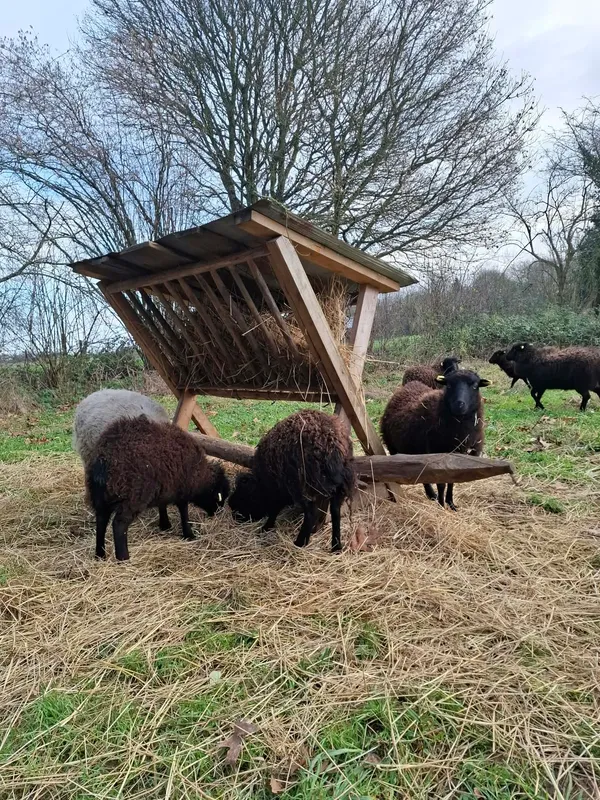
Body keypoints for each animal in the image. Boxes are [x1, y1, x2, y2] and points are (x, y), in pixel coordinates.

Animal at [86, 416, 229, 561]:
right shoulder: (182, 489)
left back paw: (100, 554)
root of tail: (104, 458)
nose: (216, 513)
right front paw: (189, 534)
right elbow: (184, 512)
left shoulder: (165, 486)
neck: (201, 475)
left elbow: (162, 505)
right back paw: (123, 558)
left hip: (99, 496)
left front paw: (165, 525)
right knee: (119, 525)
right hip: (131, 497)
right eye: (220, 496)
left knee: (101, 521)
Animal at [228, 410, 355, 552]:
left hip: (303, 484)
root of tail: (331, 444)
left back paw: (300, 543)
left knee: (311, 512)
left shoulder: (279, 486)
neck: (262, 482)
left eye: (245, 497)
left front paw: (266, 527)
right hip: (340, 483)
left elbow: (275, 507)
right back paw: (336, 546)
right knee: (335, 510)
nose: (235, 515)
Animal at [380, 369, 490, 510]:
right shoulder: (438, 457)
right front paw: (442, 505)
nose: (459, 405)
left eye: (475, 386)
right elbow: (441, 484)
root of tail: (409, 385)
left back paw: (431, 495)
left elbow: (452, 482)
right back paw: (432, 494)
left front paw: (451, 503)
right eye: (449, 385)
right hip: (393, 446)